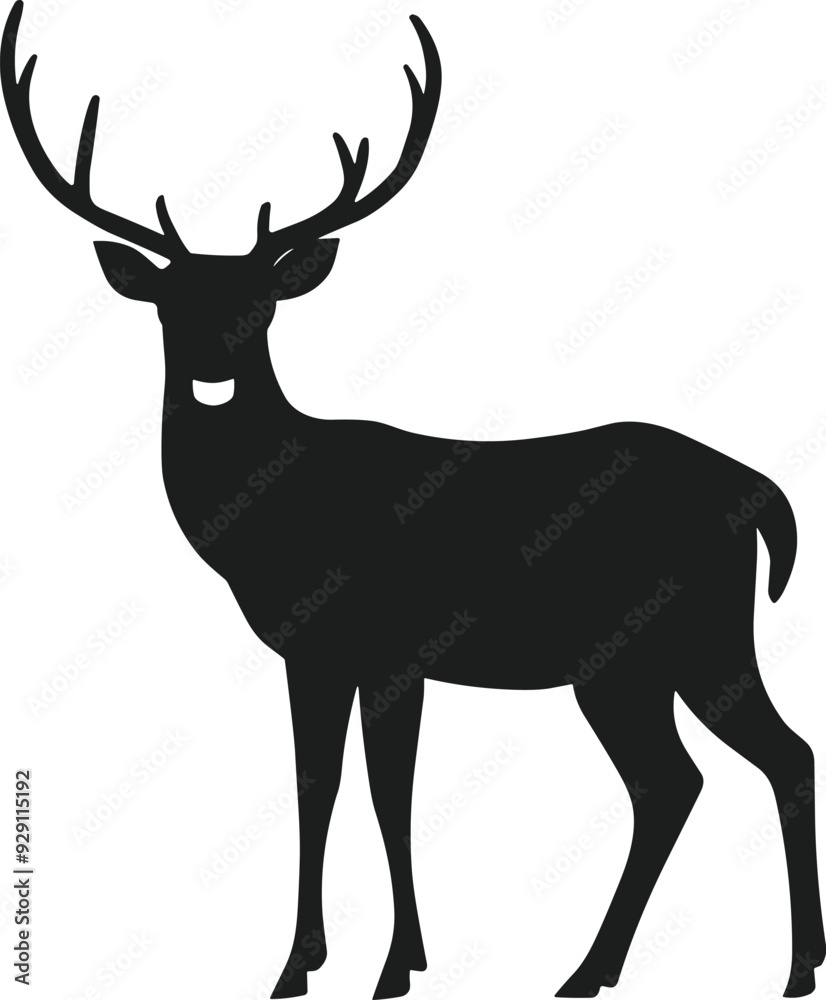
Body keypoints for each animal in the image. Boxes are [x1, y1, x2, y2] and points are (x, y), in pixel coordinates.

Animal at [2, 2, 823, 997]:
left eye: (263, 303)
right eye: (169, 302)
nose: (211, 373)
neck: (269, 523)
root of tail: (767, 493)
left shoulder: (391, 644)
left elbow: (388, 791)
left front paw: (393, 966)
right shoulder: (313, 651)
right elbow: (316, 782)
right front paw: (302, 965)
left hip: (693, 636)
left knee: (763, 757)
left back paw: (777, 968)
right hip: (631, 662)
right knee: (681, 780)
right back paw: (608, 969)